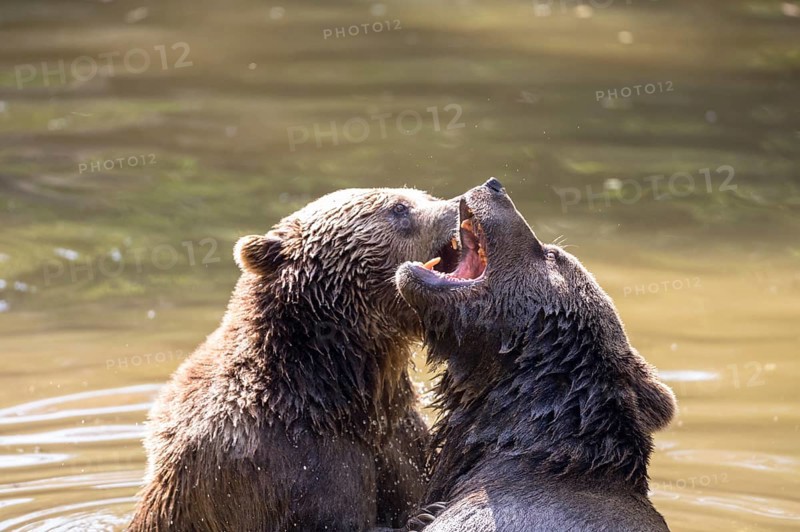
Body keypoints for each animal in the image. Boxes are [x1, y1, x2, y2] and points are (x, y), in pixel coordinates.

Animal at [129, 187, 462, 531]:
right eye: (398, 208)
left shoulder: (398, 434)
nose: (458, 205)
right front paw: (421, 515)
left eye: (423, 195)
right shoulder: (277, 462)